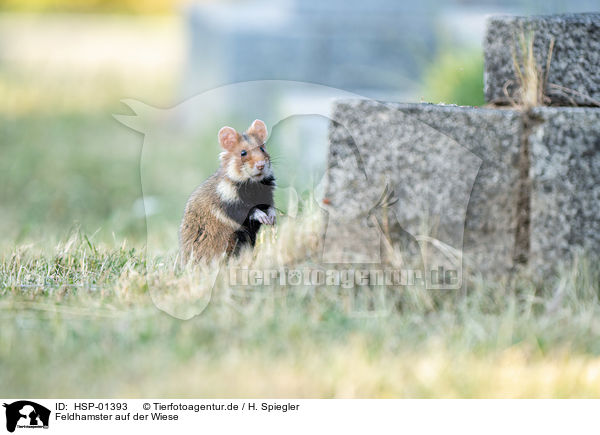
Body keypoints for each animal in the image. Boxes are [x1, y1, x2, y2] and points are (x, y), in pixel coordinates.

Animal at [178, 117, 276, 264]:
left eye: (262, 148)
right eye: (243, 152)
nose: (261, 165)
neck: (253, 184)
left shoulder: (267, 195)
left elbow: (270, 206)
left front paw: (272, 219)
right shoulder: (230, 203)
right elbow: (250, 210)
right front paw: (264, 218)